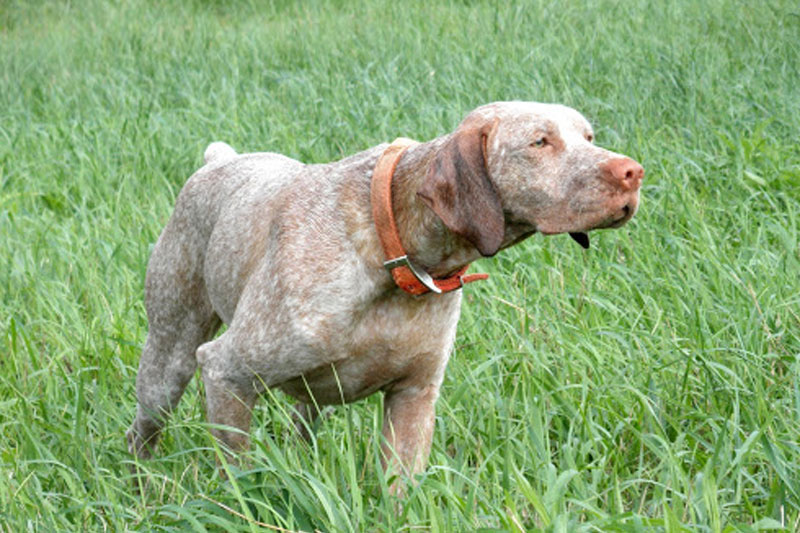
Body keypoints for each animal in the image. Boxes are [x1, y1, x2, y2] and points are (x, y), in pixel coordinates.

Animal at [128, 100, 648, 490]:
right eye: (540, 141)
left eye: (589, 137)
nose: (634, 172)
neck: (394, 250)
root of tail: (218, 160)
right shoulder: (226, 372)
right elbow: (239, 479)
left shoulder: (414, 397)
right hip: (168, 363)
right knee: (142, 433)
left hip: (311, 397)